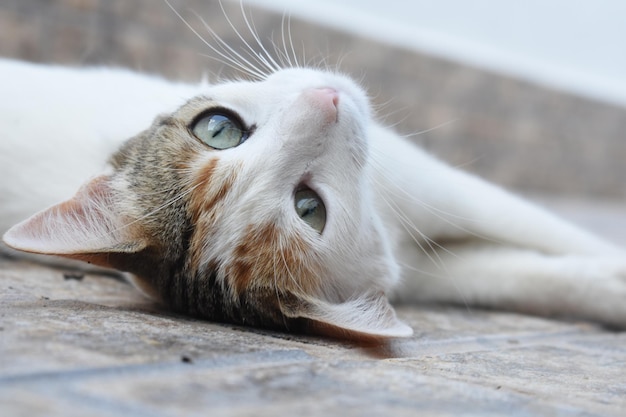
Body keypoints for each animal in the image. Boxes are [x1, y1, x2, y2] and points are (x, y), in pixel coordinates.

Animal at [0, 52, 620, 338]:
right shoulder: (424, 253)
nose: (328, 100)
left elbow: (547, 247)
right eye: (309, 209)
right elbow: (521, 270)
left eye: (217, 128)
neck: (393, 222)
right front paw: (611, 284)